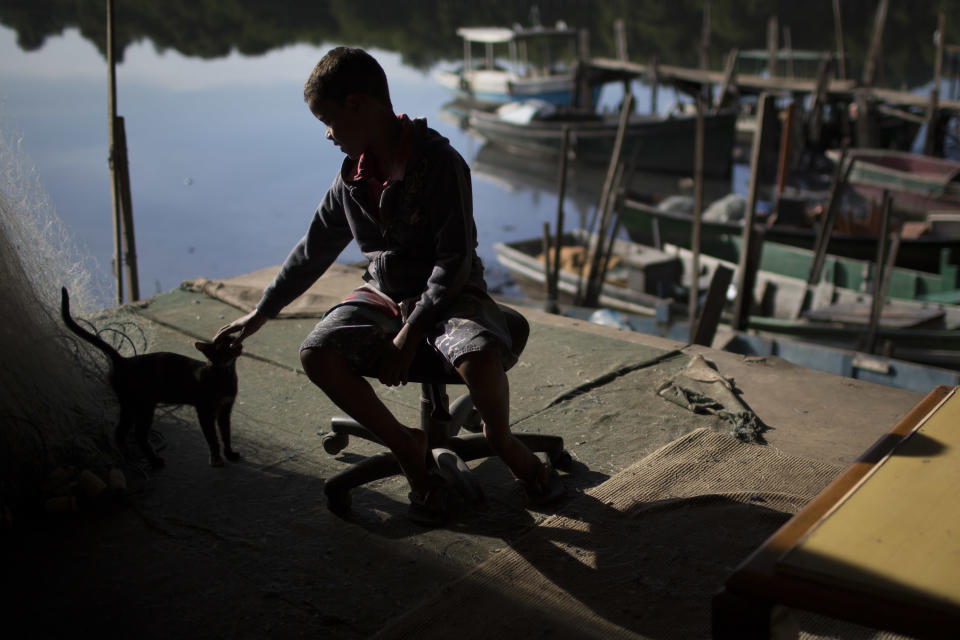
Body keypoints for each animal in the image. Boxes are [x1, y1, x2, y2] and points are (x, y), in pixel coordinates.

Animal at [61, 288, 242, 468]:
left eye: (232, 339)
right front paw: (216, 459)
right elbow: (213, 438)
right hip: (143, 405)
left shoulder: (225, 409)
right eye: (224, 346)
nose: (237, 342)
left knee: (120, 432)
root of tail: (123, 360)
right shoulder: (204, 410)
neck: (226, 374)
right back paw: (153, 460)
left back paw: (127, 458)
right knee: (138, 433)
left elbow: (226, 434)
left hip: (130, 405)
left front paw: (229, 454)